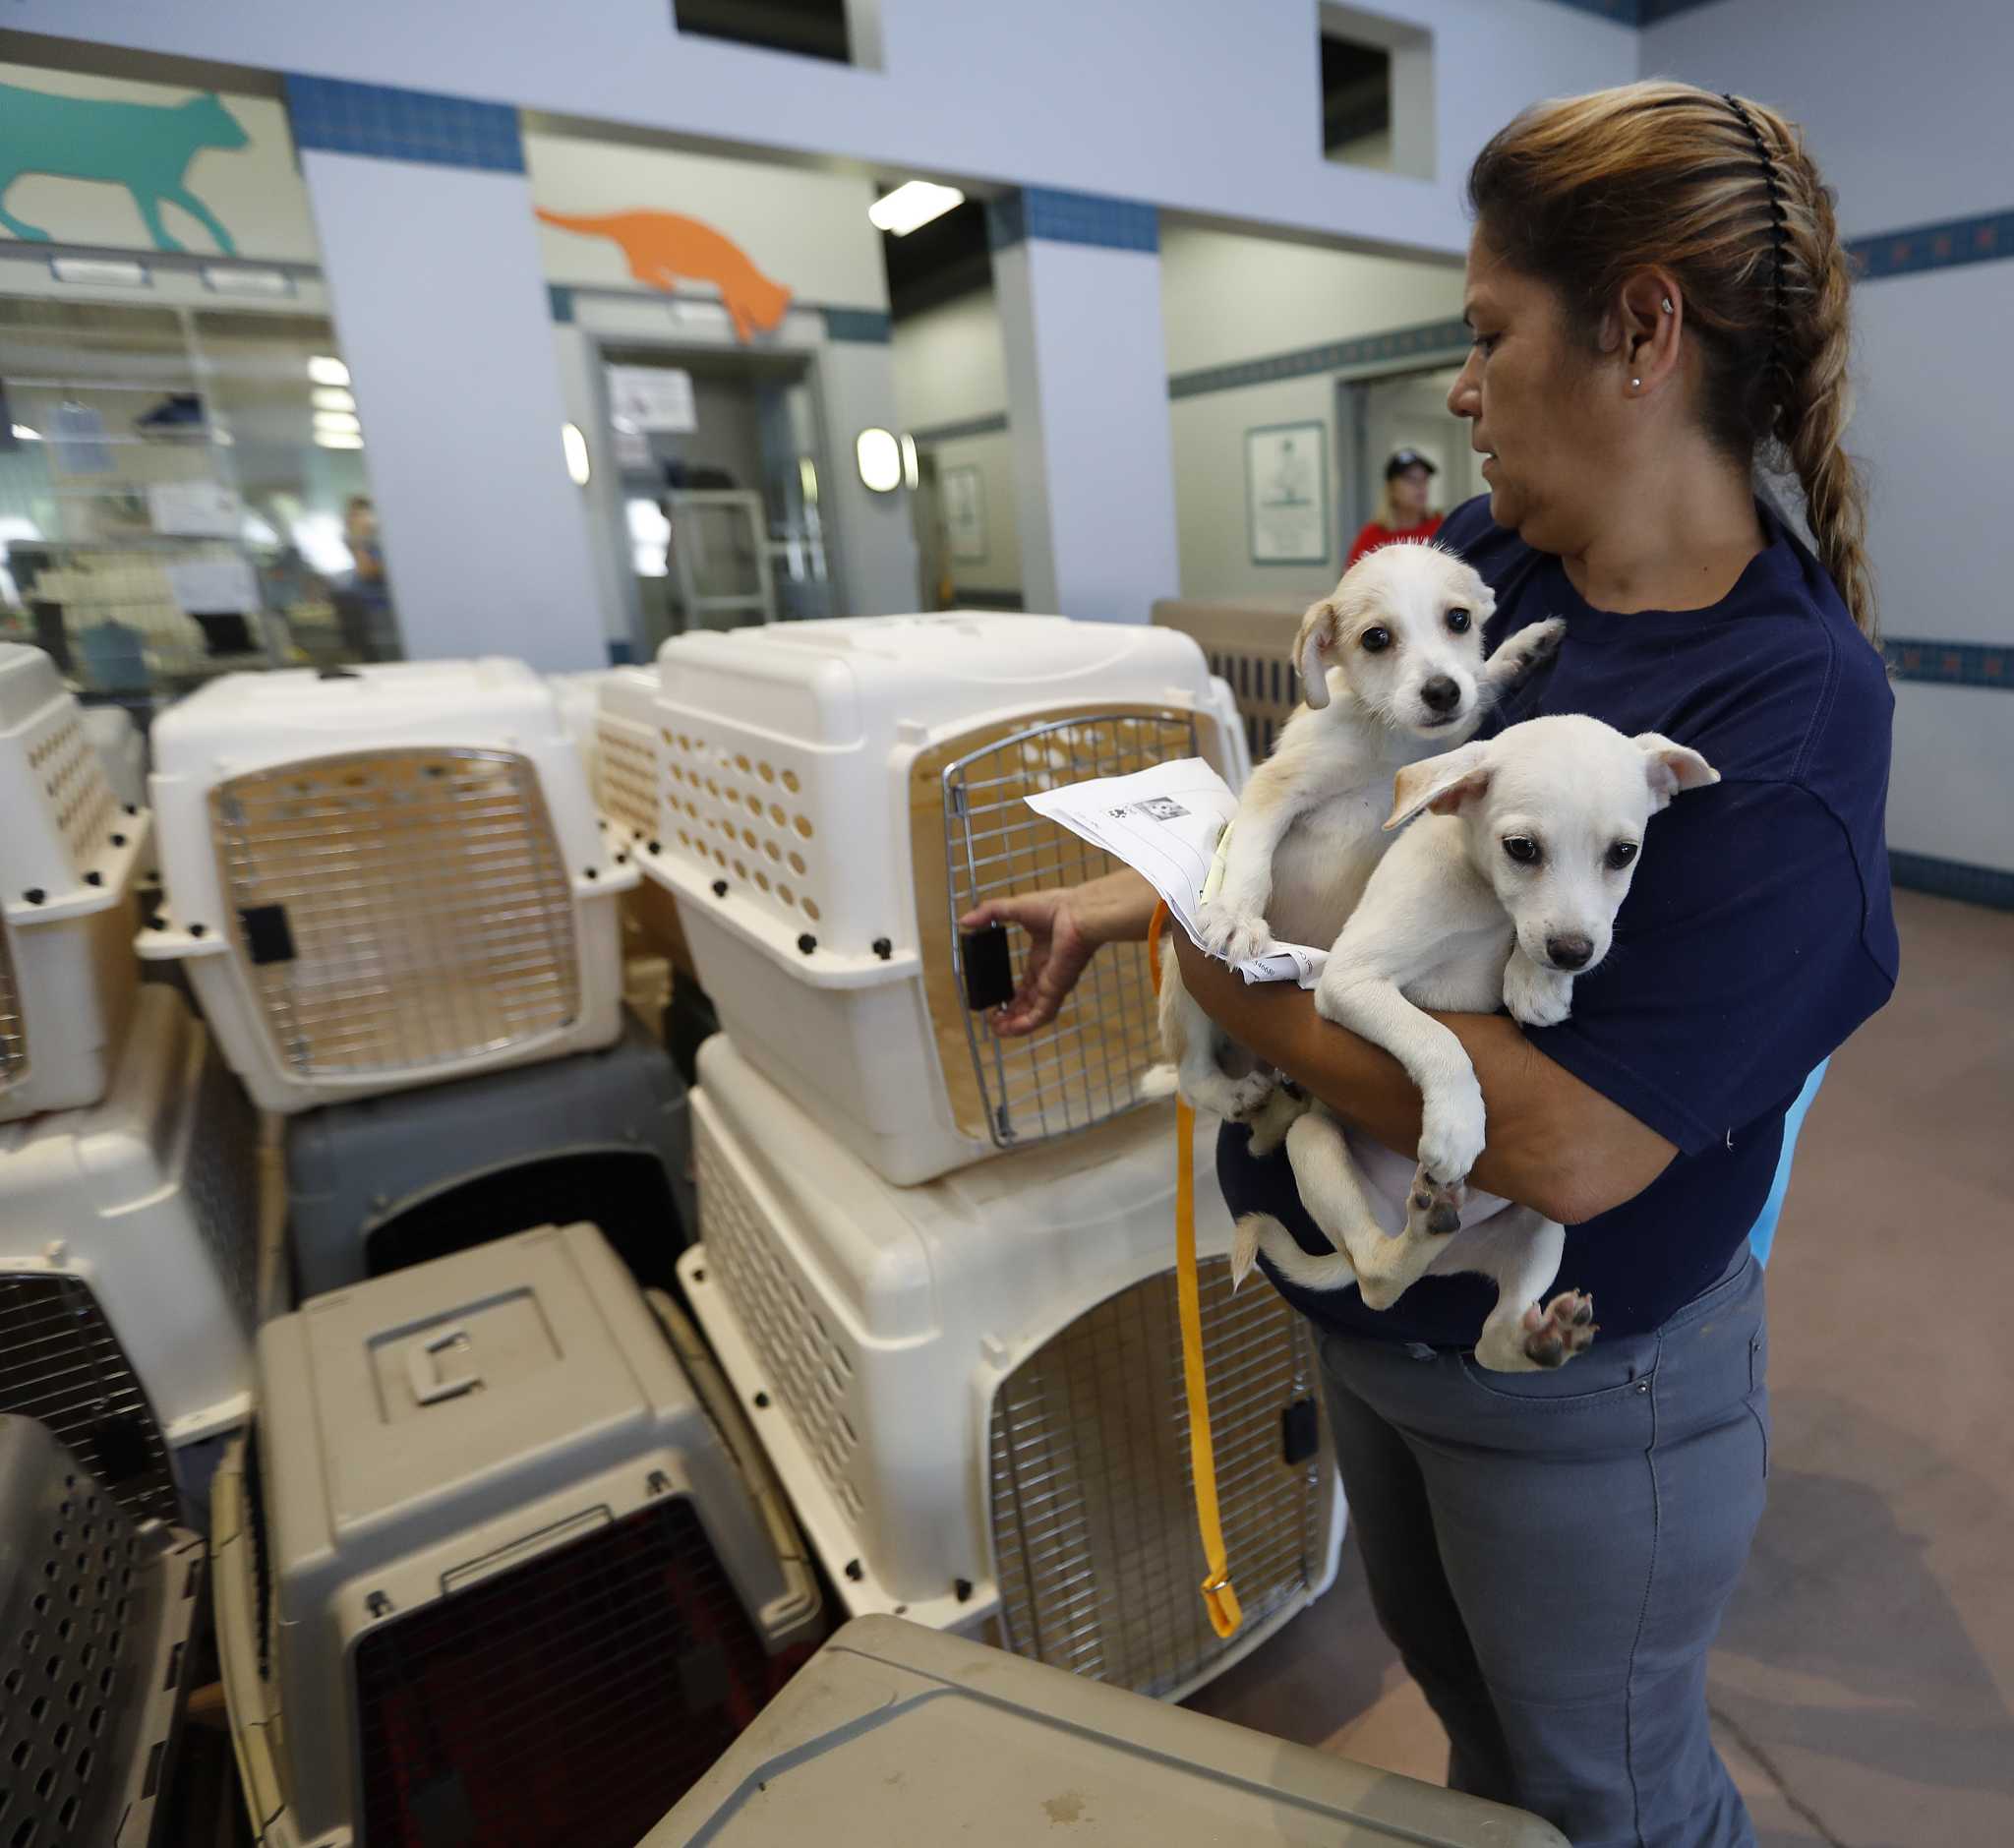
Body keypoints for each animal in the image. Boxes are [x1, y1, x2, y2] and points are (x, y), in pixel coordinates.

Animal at [1159, 540, 1563, 1136]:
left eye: (1459, 619)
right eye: (1376, 638)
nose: (1442, 691)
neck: (1387, 735)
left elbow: (1480, 691)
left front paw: (1516, 653)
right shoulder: (1277, 786)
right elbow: (1253, 855)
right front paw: (1235, 916)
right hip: (1181, 985)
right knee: (1189, 1077)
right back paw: (1230, 1092)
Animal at [1232, 717, 1724, 1370]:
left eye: (1623, 853)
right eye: (1522, 848)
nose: (1573, 954)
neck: (1484, 903)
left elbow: (1523, 953)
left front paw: (1536, 984)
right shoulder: (1350, 979)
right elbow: (1438, 1037)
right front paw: (1457, 1126)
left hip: (1543, 1227)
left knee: (1492, 1341)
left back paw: (1544, 1339)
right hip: (1312, 1142)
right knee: (1376, 1281)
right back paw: (1418, 1230)